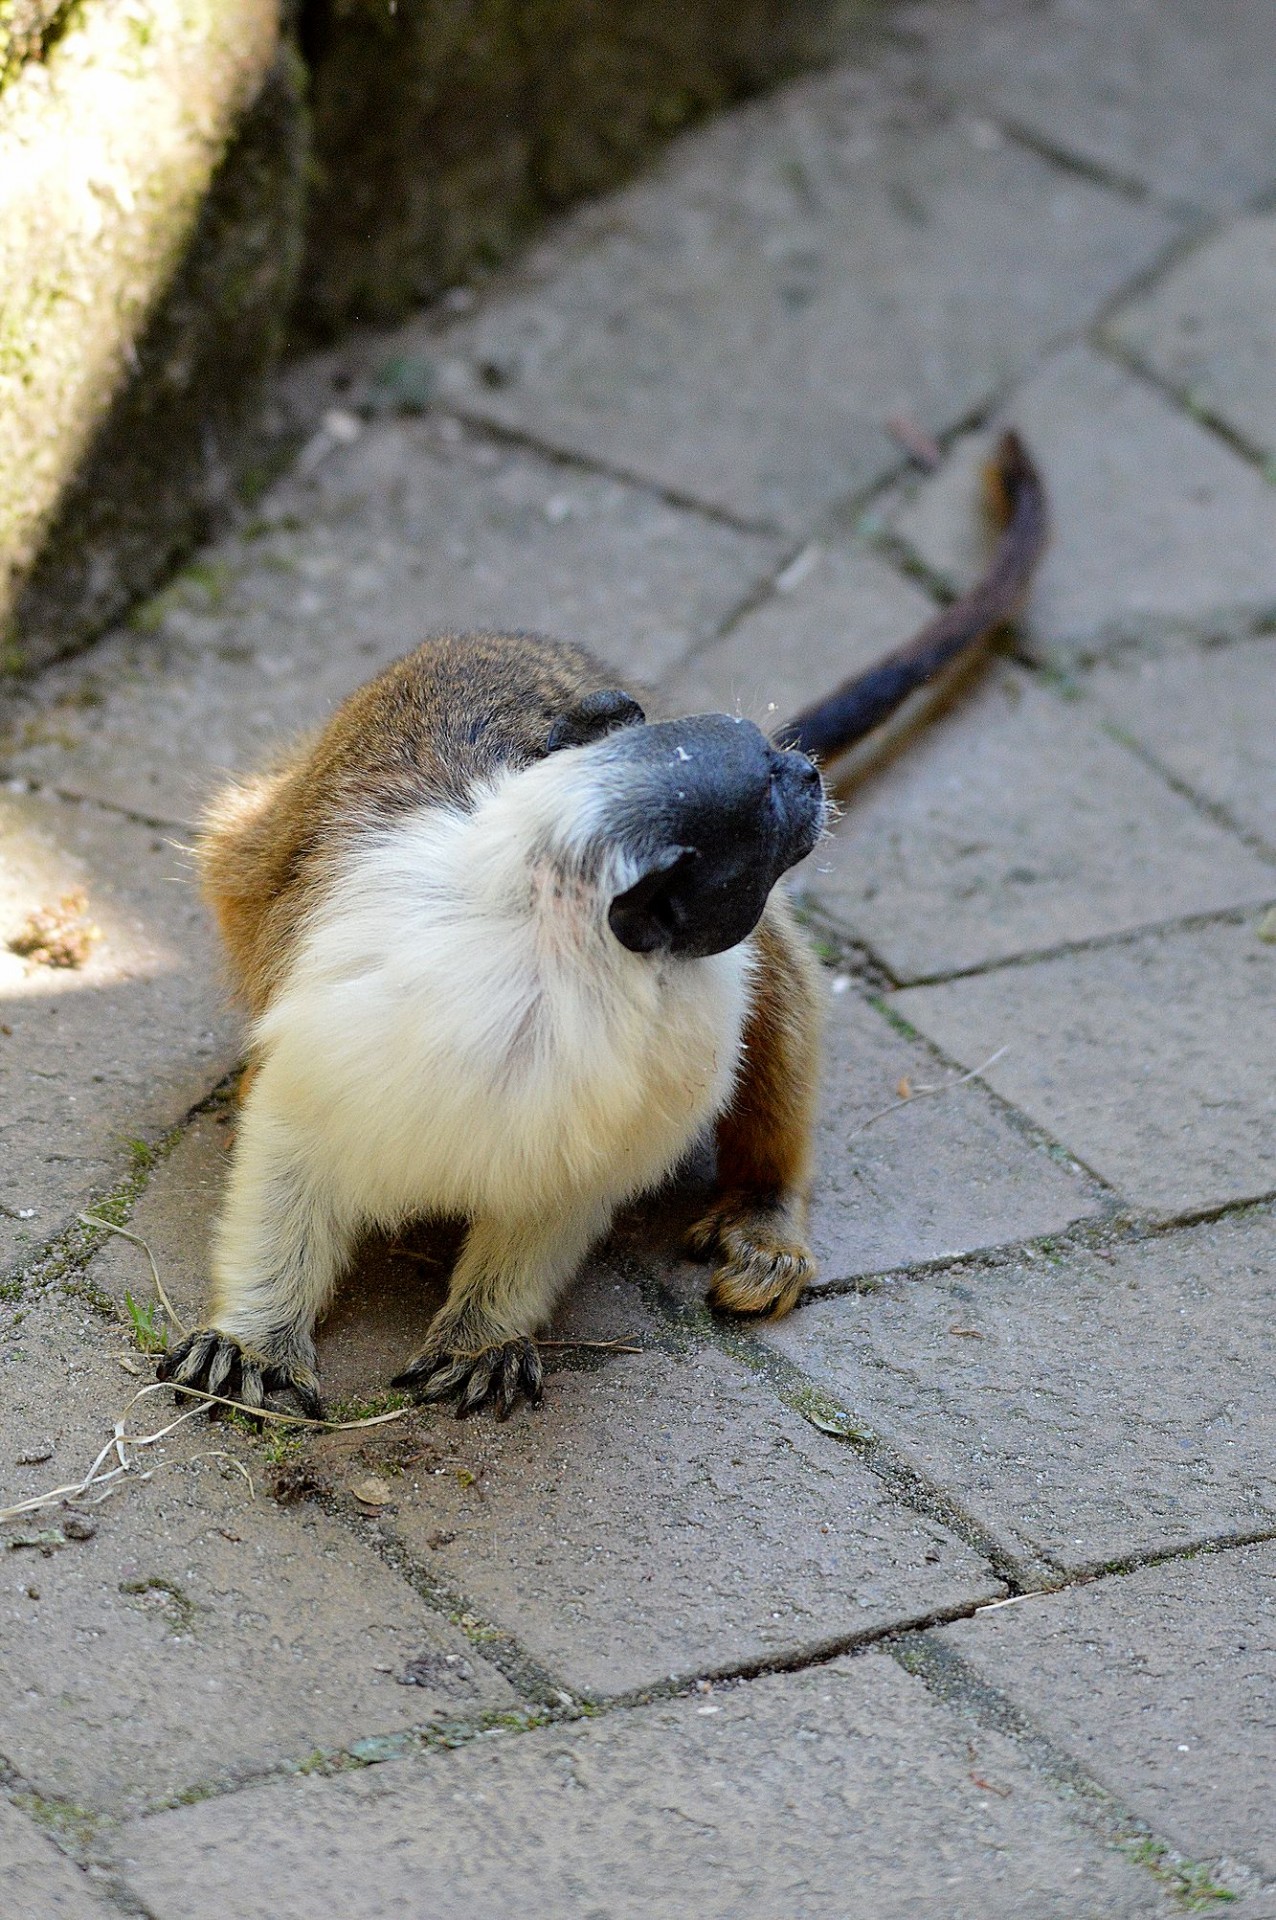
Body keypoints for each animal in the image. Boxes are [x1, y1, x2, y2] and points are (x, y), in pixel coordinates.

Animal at [154, 435, 1043, 1428]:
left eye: (778, 771)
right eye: (769, 800)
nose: (807, 775)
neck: (548, 960)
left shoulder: (625, 1092)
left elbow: (554, 1202)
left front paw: (484, 1335)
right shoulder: (344, 1033)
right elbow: (286, 1153)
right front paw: (255, 1339)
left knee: (775, 976)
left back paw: (765, 1211)